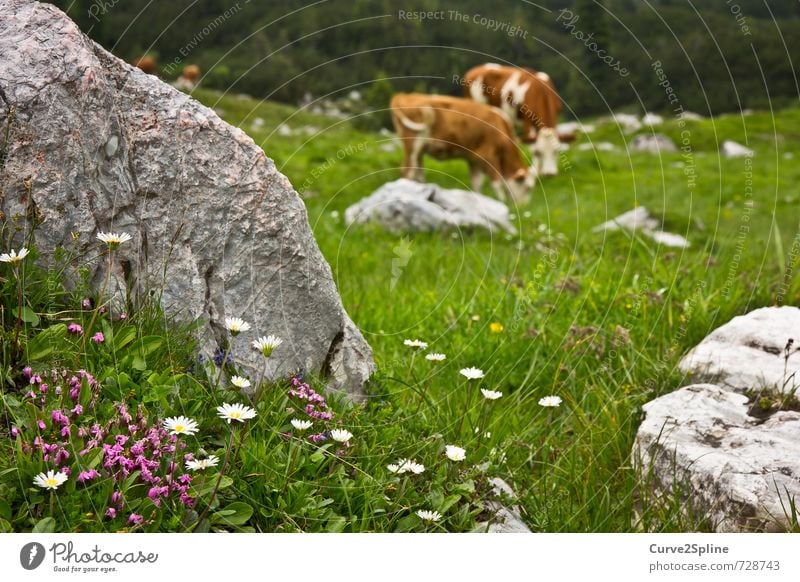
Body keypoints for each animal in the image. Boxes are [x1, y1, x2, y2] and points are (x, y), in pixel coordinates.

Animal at [390, 94, 536, 205]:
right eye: (527, 188)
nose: (523, 207)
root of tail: (404, 95)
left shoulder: (473, 158)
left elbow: (477, 183)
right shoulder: (487, 155)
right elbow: (497, 182)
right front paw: (502, 202)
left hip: (419, 150)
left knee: (418, 173)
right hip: (412, 145)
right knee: (408, 171)